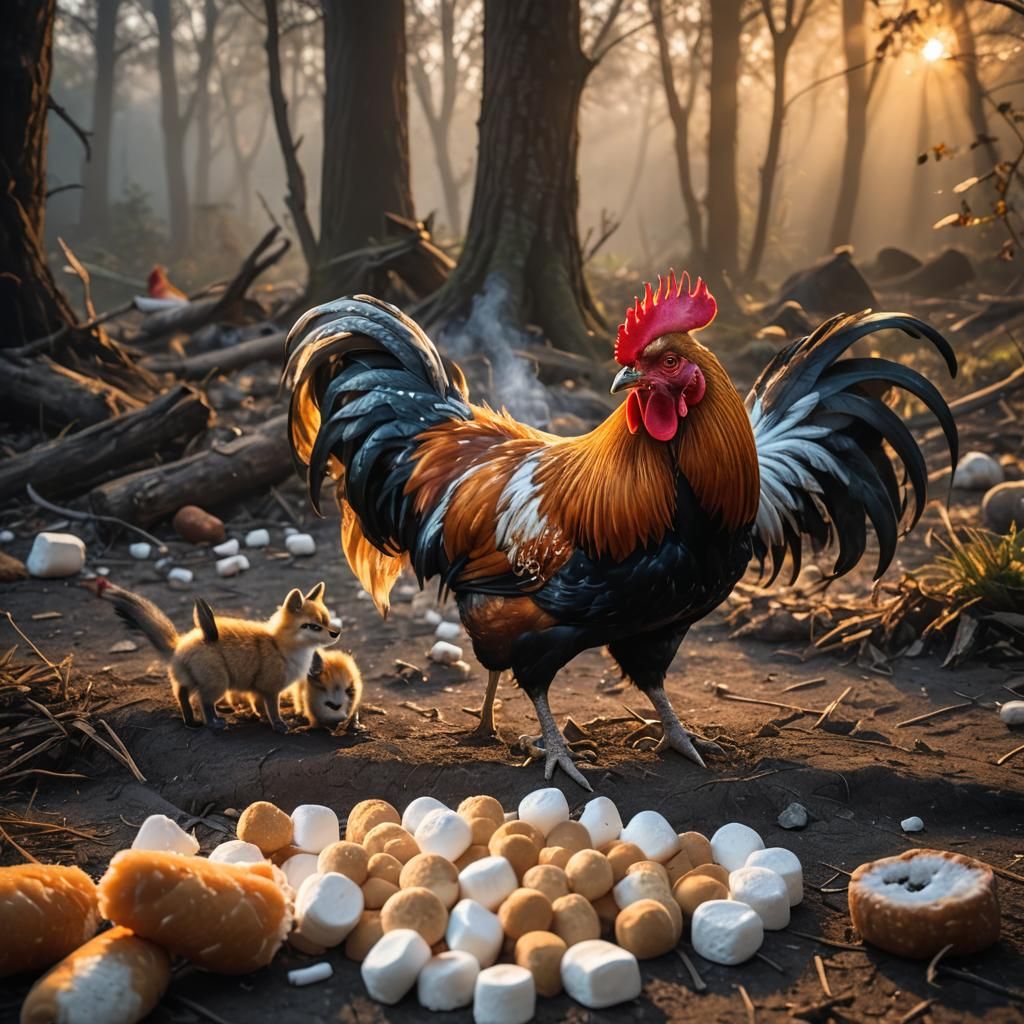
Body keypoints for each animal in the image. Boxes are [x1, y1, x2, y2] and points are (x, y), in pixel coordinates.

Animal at [99, 579, 339, 732]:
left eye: (327, 621)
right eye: (313, 626)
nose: (336, 633)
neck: (281, 647)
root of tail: (179, 644)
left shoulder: (258, 689)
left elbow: (259, 706)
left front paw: (262, 718)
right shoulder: (270, 689)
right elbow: (273, 709)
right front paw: (278, 725)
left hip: (189, 681)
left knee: (182, 695)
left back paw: (190, 721)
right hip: (218, 684)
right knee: (203, 702)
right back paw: (213, 724)